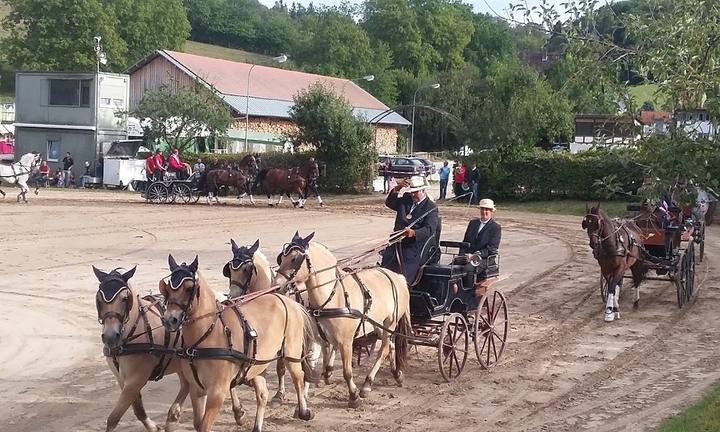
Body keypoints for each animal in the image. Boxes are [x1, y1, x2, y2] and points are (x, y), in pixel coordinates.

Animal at [92, 266, 188, 432]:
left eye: (125, 299)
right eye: (99, 299)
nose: (110, 336)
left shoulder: (136, 379)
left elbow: (113, 418)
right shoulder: (123, 380)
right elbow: (138, 409)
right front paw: (153, 427)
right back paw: (173, 416)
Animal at [159, 255, 316, 432]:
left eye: (188, 288)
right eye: (168, 289)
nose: (170, 319)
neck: (207, 335)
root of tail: (286, 300)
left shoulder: (217, 392)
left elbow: (205, 426)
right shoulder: (197, 390)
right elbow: (198, 424)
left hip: (291, 353)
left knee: (298, 377)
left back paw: (303, 410)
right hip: (257, 363)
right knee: (262, 394)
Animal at [272, 231, 410, 406]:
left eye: (294, 259)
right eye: (281, 258)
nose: (276, 286)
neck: (332, 296)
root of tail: (397, 276)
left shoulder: (346, 342)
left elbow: (347, 371)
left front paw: (354, 396)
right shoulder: (317, 338)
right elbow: (310, 366)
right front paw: (303, 398)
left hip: (390, 323)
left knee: (384, 349)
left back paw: (367, 384)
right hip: (379, 324)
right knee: (390, 346)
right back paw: (396, 374)